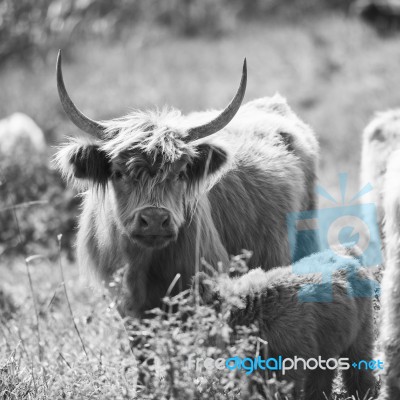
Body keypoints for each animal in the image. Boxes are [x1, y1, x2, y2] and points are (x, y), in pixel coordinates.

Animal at [195, 248, 376, 398]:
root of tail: (352, 256)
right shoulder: (260, 355)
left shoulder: (289, 346)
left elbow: (285, 382)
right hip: (329, 334)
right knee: (323, 371)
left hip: (359, 324)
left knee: (358, 358)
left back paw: (363, 392)